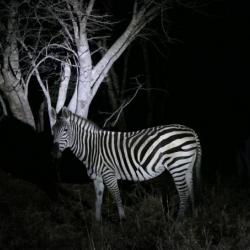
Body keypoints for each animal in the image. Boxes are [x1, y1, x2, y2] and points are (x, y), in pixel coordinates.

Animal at [51, 107, 201, 221]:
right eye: (52, 130)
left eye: (65, 130)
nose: (54, 153)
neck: (92, 148)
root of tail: (191, 131)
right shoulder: (97, 178)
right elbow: (98, 200)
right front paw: (97, 224)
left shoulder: (109, 175)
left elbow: (117, 198)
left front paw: (122, 221)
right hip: (186, 166)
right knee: (191, 189)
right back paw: (192, 216)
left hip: (177, 165)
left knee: (183, 193)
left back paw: (178, 221)